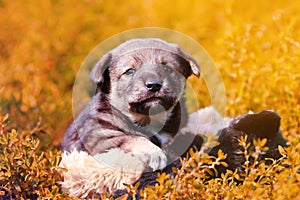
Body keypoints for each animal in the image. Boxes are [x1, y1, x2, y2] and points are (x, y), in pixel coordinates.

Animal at [61, 38, 200, 171]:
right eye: (129, 71)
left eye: (167, 68)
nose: (154, 85)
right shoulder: (98, 138)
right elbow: (131, 138)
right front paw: (154, 153)